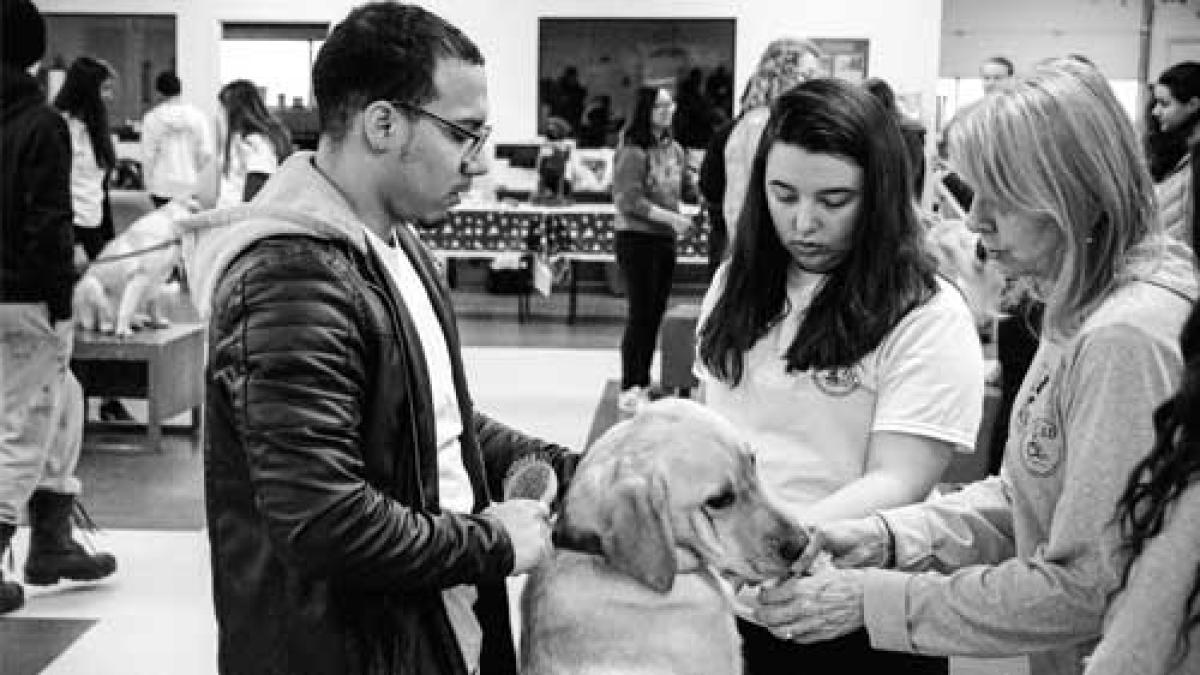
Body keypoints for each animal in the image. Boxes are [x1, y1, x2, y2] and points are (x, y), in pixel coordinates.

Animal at [75, 198, 199, 336]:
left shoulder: (157, 280)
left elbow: (153, 306)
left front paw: (157, 321)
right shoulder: (139, 278)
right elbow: (126, 309)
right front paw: (123, 330)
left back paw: (137, 321)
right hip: (92, 286)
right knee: (101, 319)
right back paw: (109, 326)